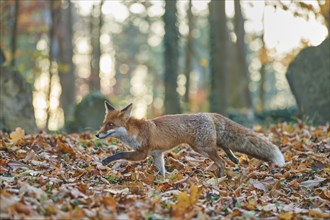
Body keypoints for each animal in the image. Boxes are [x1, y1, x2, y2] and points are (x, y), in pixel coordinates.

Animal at [95, 102, 284, 177]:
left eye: (110, 125)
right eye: (103, 124)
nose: (97, 135)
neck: (135, 132)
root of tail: (208, 114)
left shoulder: (142, 153)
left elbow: (120, 154)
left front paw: (106, 160)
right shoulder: (157, 154)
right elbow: (162, 171)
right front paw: (162, 184)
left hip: (201, 148)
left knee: (221, 161)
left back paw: (220, 177)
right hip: (204, 146)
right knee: (224, 146)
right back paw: (234, 158)